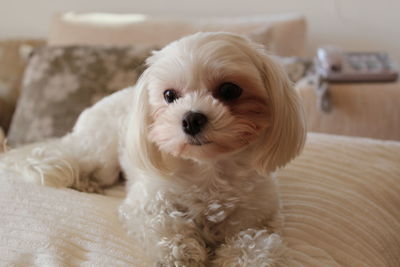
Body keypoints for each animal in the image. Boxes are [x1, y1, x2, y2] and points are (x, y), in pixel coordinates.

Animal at [0, 32, 306, 266]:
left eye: (230, 90)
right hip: (100, 155)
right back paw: (84, 182)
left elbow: (256, 244)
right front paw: (182, 253)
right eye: (169, 95)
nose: (192, 119)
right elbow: (164, 224)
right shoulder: (145, 203)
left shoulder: (260, 219)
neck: (208, 169)